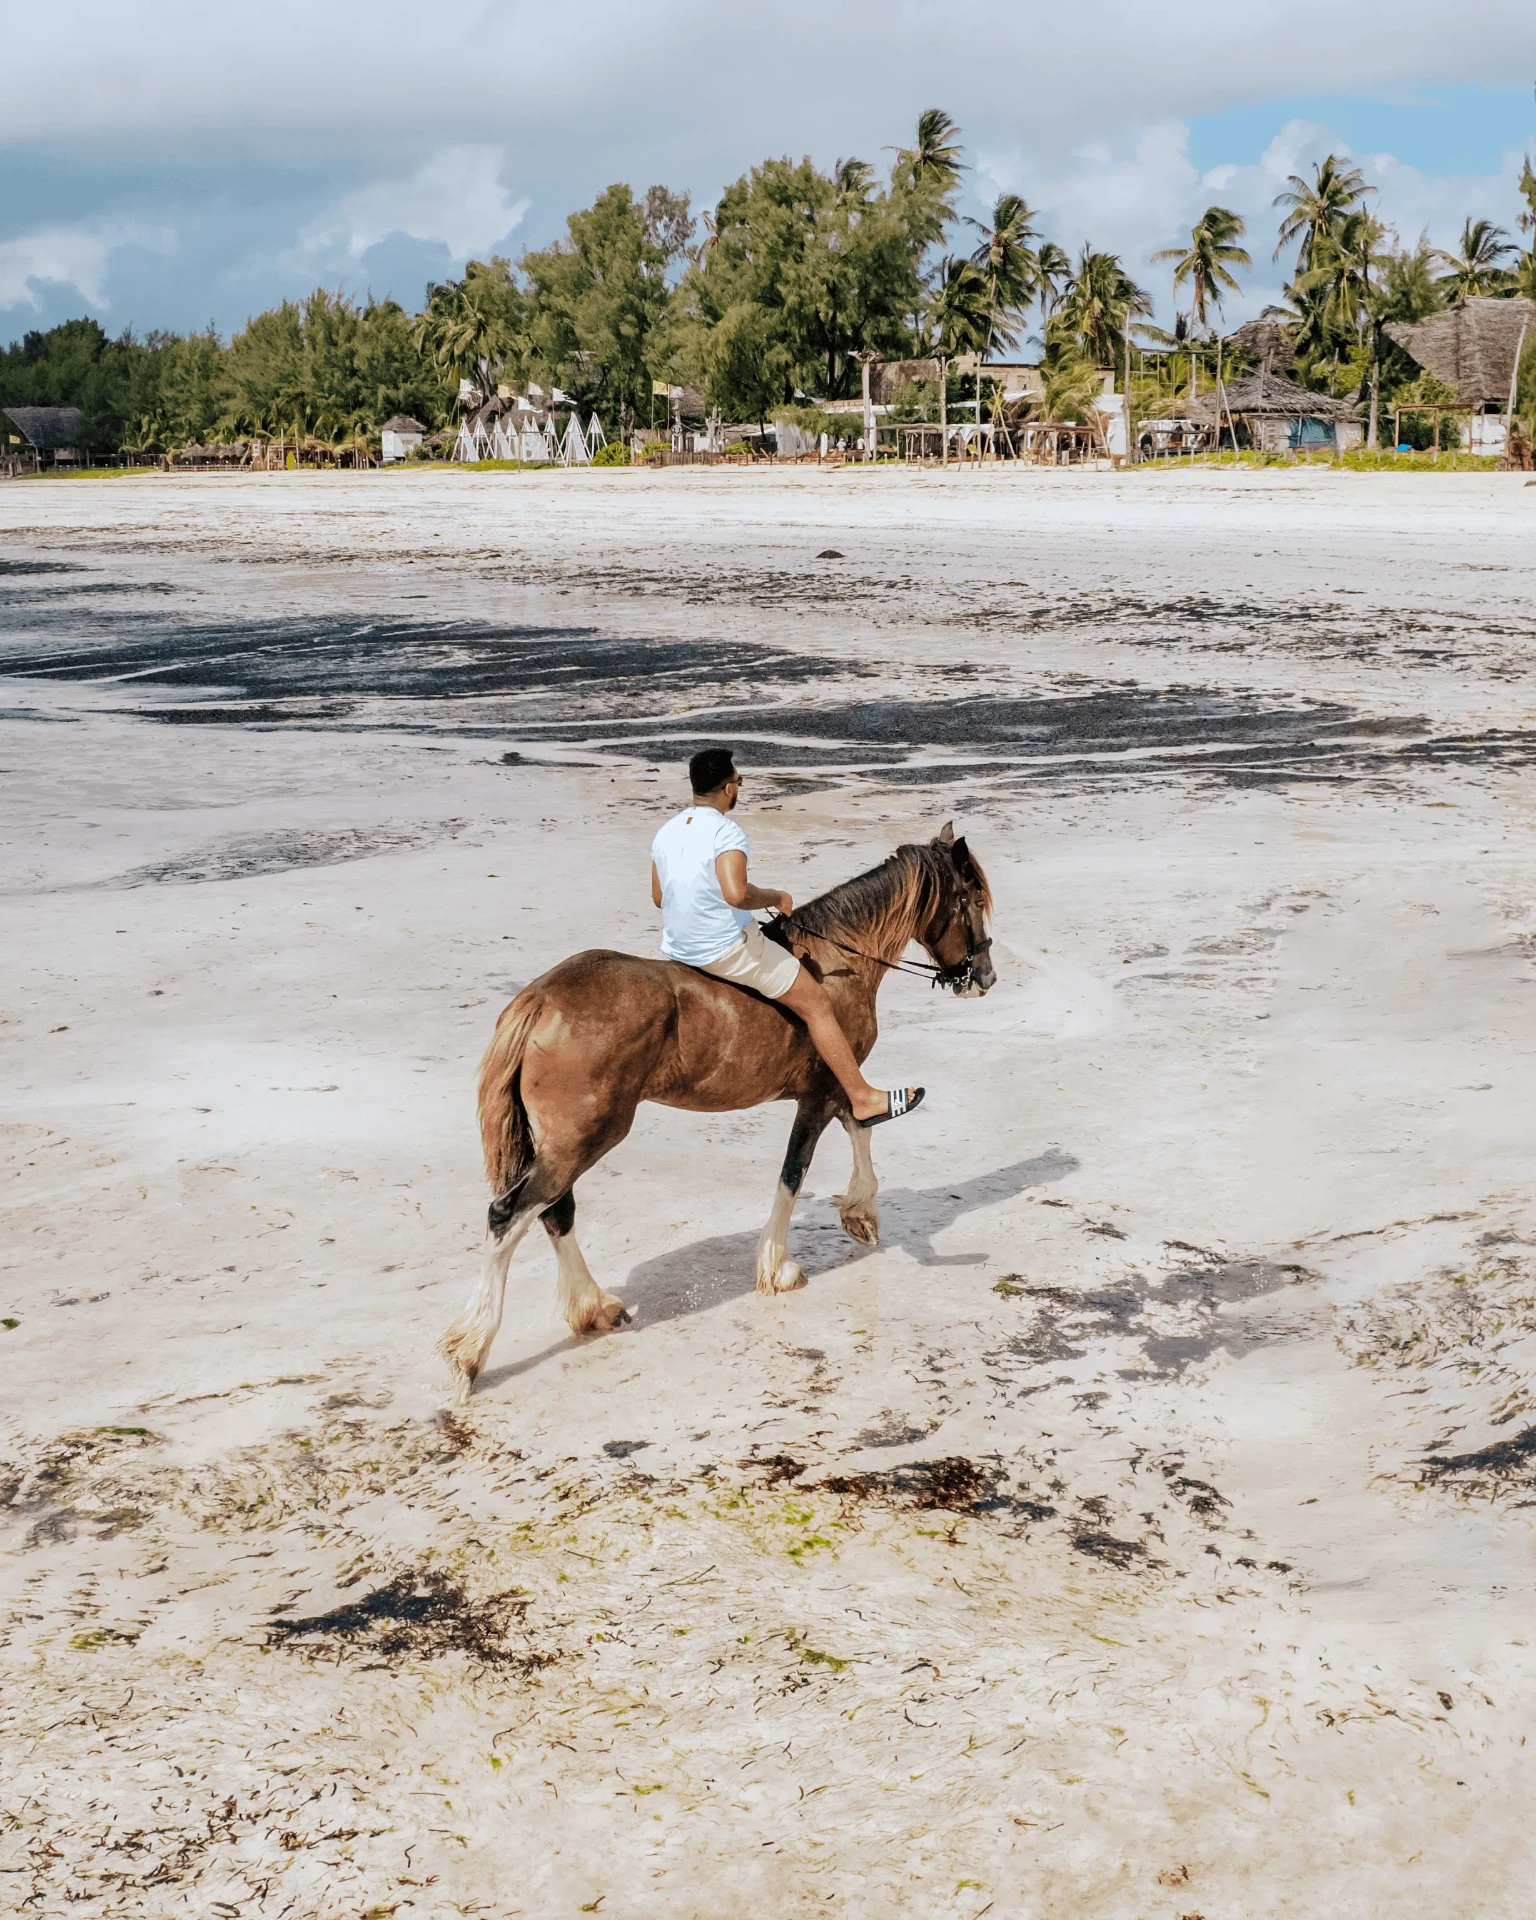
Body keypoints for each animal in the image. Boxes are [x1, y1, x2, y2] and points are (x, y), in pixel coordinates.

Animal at [438, 822, 995, 1402]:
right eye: (973, 900)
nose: (985, 975)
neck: (837, 961)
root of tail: (541, 1000)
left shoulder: (831, 1090)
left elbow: (860, 1128)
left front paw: (860, 1211)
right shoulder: (820, 1094)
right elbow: (797, 1170)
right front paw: (779, 1266)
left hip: (566, 1142)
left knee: (554, 1212)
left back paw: (594, 1308)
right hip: (586, 1137)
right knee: (508, 1216)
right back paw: (471, 1351)